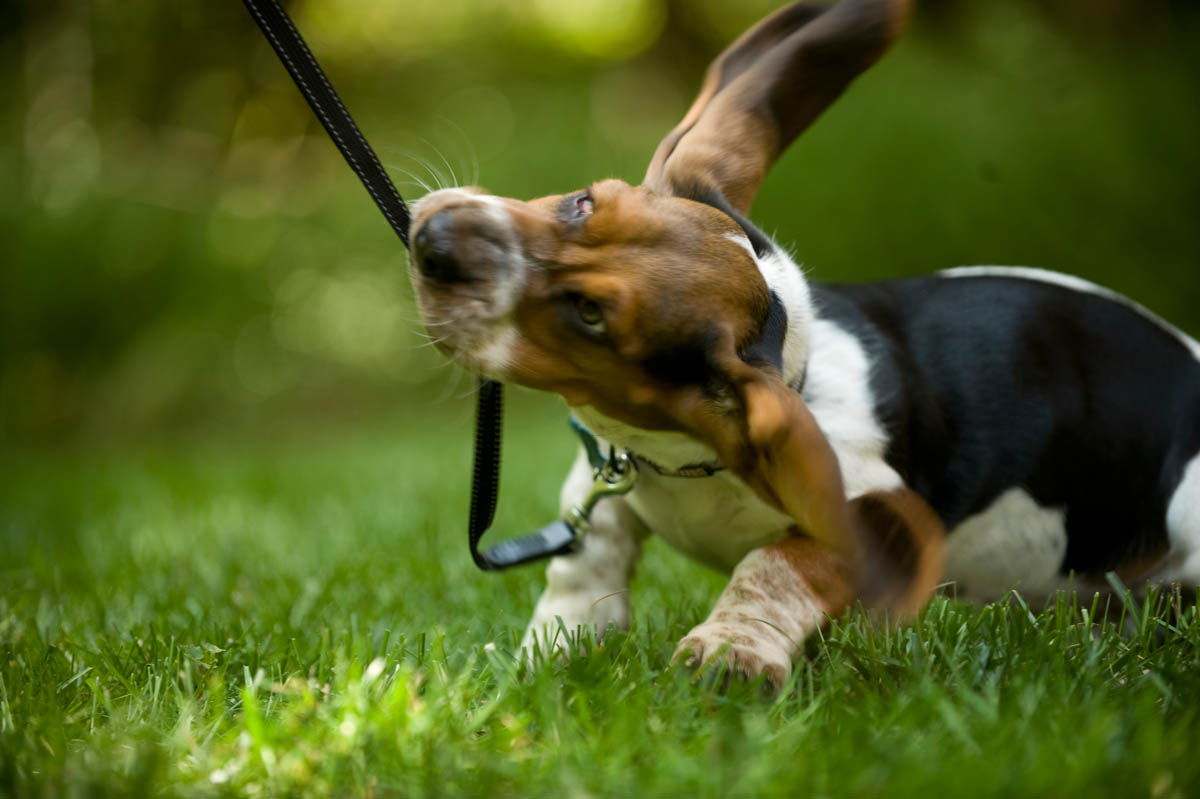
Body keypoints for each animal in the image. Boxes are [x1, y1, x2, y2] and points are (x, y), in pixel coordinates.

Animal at [405, 0, 1200, 686]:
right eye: (581, 203)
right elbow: (587, 554)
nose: (431, 241)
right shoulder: (601, 479)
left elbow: (779, 561)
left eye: (591, 314)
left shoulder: (877, 514)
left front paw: (731, 651)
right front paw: (557, 646)